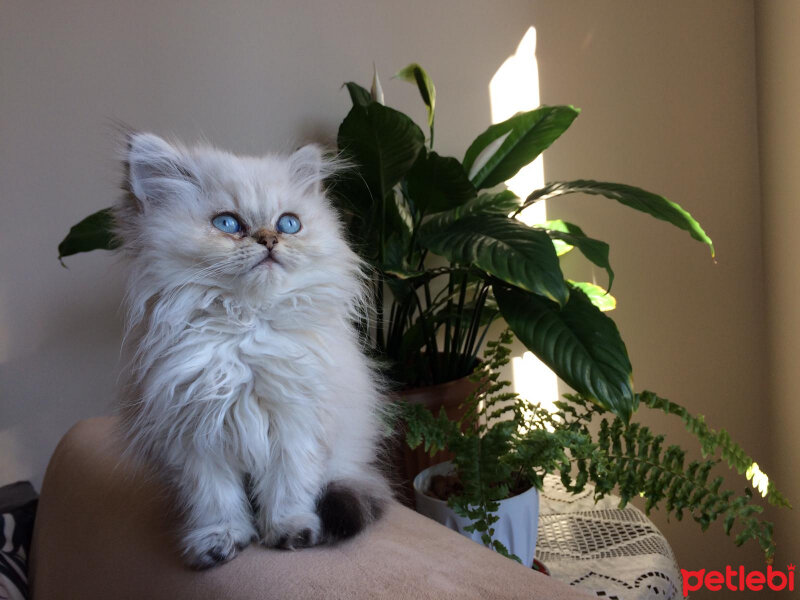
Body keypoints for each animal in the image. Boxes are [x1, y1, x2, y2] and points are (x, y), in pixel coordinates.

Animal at [114, 134, 390, 568]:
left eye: (288, 224)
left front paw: (290, 531)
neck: (245, 330)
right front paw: (219, 542)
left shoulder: (295, 425)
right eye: (227, 224)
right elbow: (217, 502)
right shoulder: (196, 436)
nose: (269, 239)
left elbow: (289, 488)